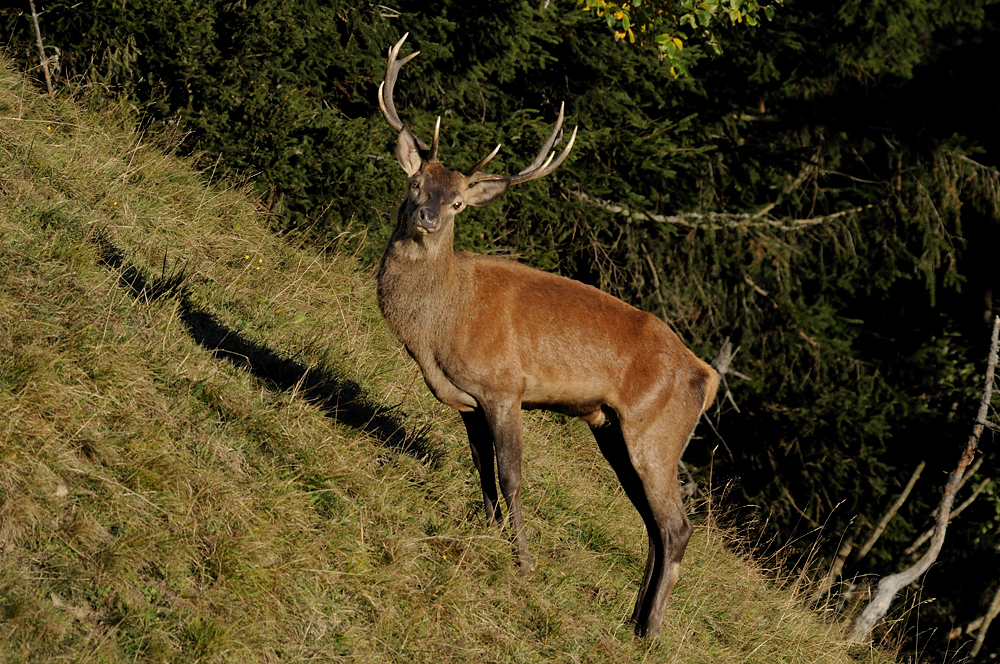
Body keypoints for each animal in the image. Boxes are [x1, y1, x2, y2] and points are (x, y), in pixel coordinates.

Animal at [374, 33, 720, 636]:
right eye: (415, 183)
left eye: (458, 202)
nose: (427, 216)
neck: (439, 326)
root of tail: (707, 377)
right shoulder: (469, 401)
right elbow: (483, 471)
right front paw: (488, 535)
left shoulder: (504, 386)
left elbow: (511, 476)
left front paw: (524, 563)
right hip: (614, 430)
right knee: (653, 525)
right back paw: (633, 617)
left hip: (657, 433)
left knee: (677, 527)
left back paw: (650, 632)